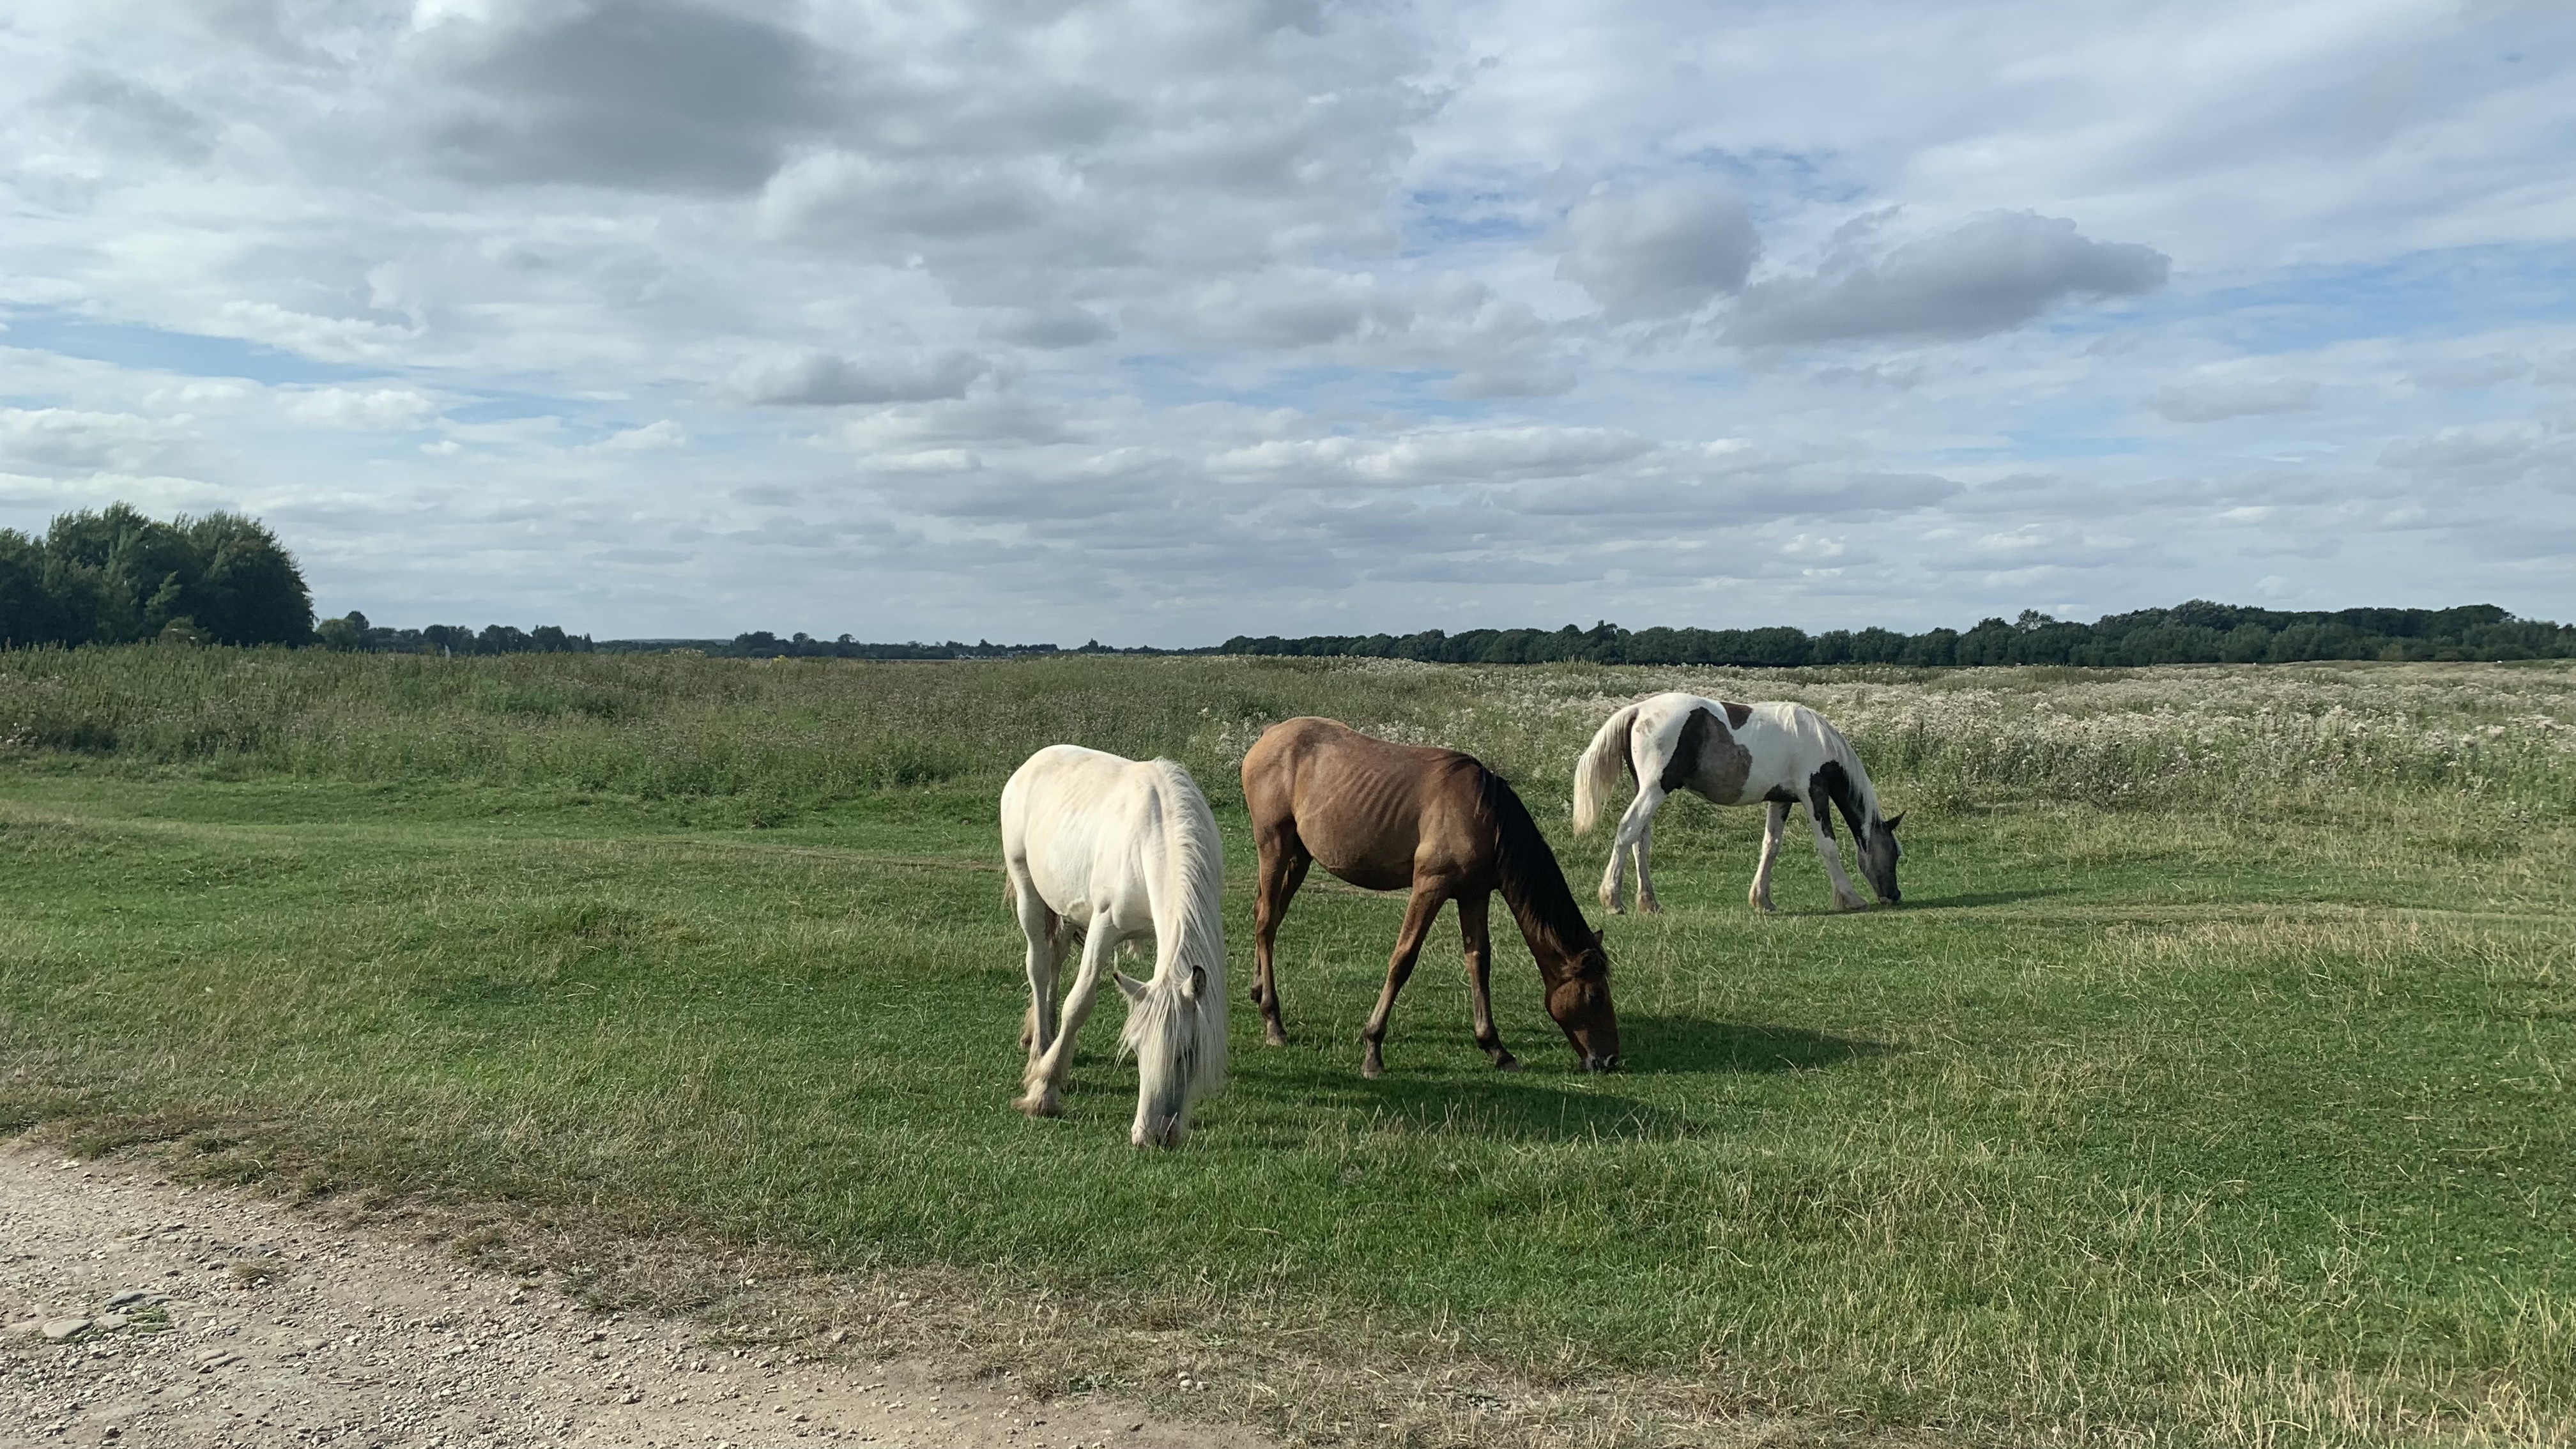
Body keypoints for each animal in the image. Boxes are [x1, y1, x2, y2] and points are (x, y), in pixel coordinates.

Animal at [994, 742, 1226, 1139]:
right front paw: (1044, 1092)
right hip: (1028, 892)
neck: (1156, 836)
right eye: (1136, 1049)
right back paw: (1040, 1051)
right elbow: (1079, 1003)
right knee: (1038, 966)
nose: (1153, 1136)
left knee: (1054, 959)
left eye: (1186, 1053)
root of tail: (1034, 761)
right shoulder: (1103, 928)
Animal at [1236, 711, 1618, 1072]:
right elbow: (1403, 960)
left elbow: (1479, 961)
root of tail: (1270, 734)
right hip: (1274, 846)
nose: (1610, 1060)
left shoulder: (1474, 894)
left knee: (1267, 916)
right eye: (1594, 996)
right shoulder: (1430, 887)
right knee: (1266, 923)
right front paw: (1373, 1047)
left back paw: (1258, 991)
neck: (1485, 816)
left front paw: (1495, 1048)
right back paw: (1273, 1021)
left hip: (1298, 857)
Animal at [1556, 691, 1906, 912]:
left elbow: (1771, 847)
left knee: (1641, 841)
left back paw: (1649, 903)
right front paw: (1850, 897)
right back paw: (1612, 899)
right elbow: (1828, 846)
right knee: (1628, 830)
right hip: (1655, 789)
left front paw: (1762, 900)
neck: (1816, 738)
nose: (1895, 895)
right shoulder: (1813, 793)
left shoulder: (1782, 801)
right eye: (1895, 853)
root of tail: (1638, 710)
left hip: (1646, 790)